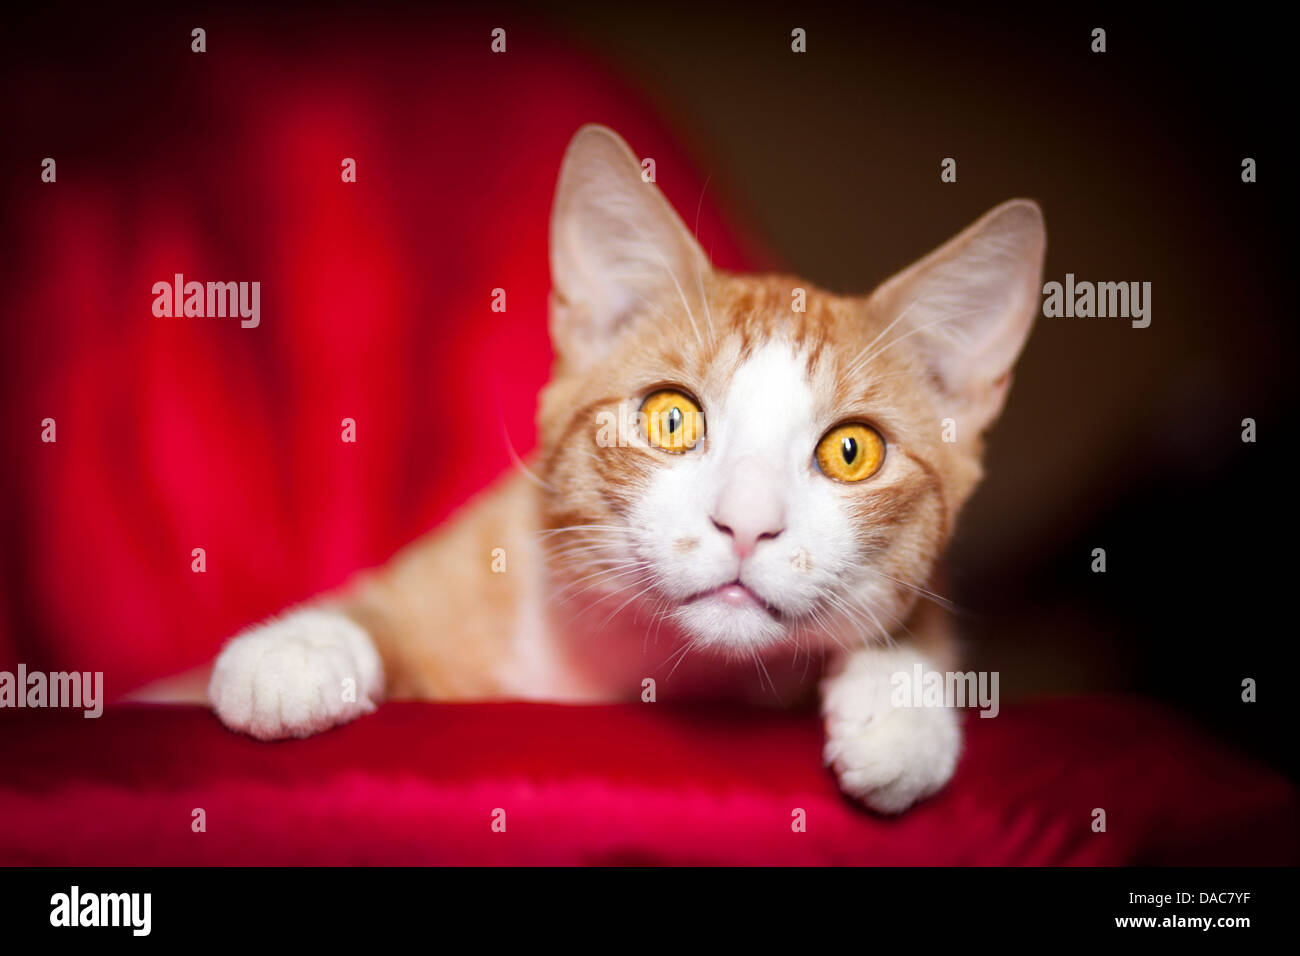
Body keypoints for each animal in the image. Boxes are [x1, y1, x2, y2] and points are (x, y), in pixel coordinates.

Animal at [202, 125, 1040, 816]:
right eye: (671, 419)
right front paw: (298, 651)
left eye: (851, 451)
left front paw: (900, 706)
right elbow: (380, 609)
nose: (746, 524)